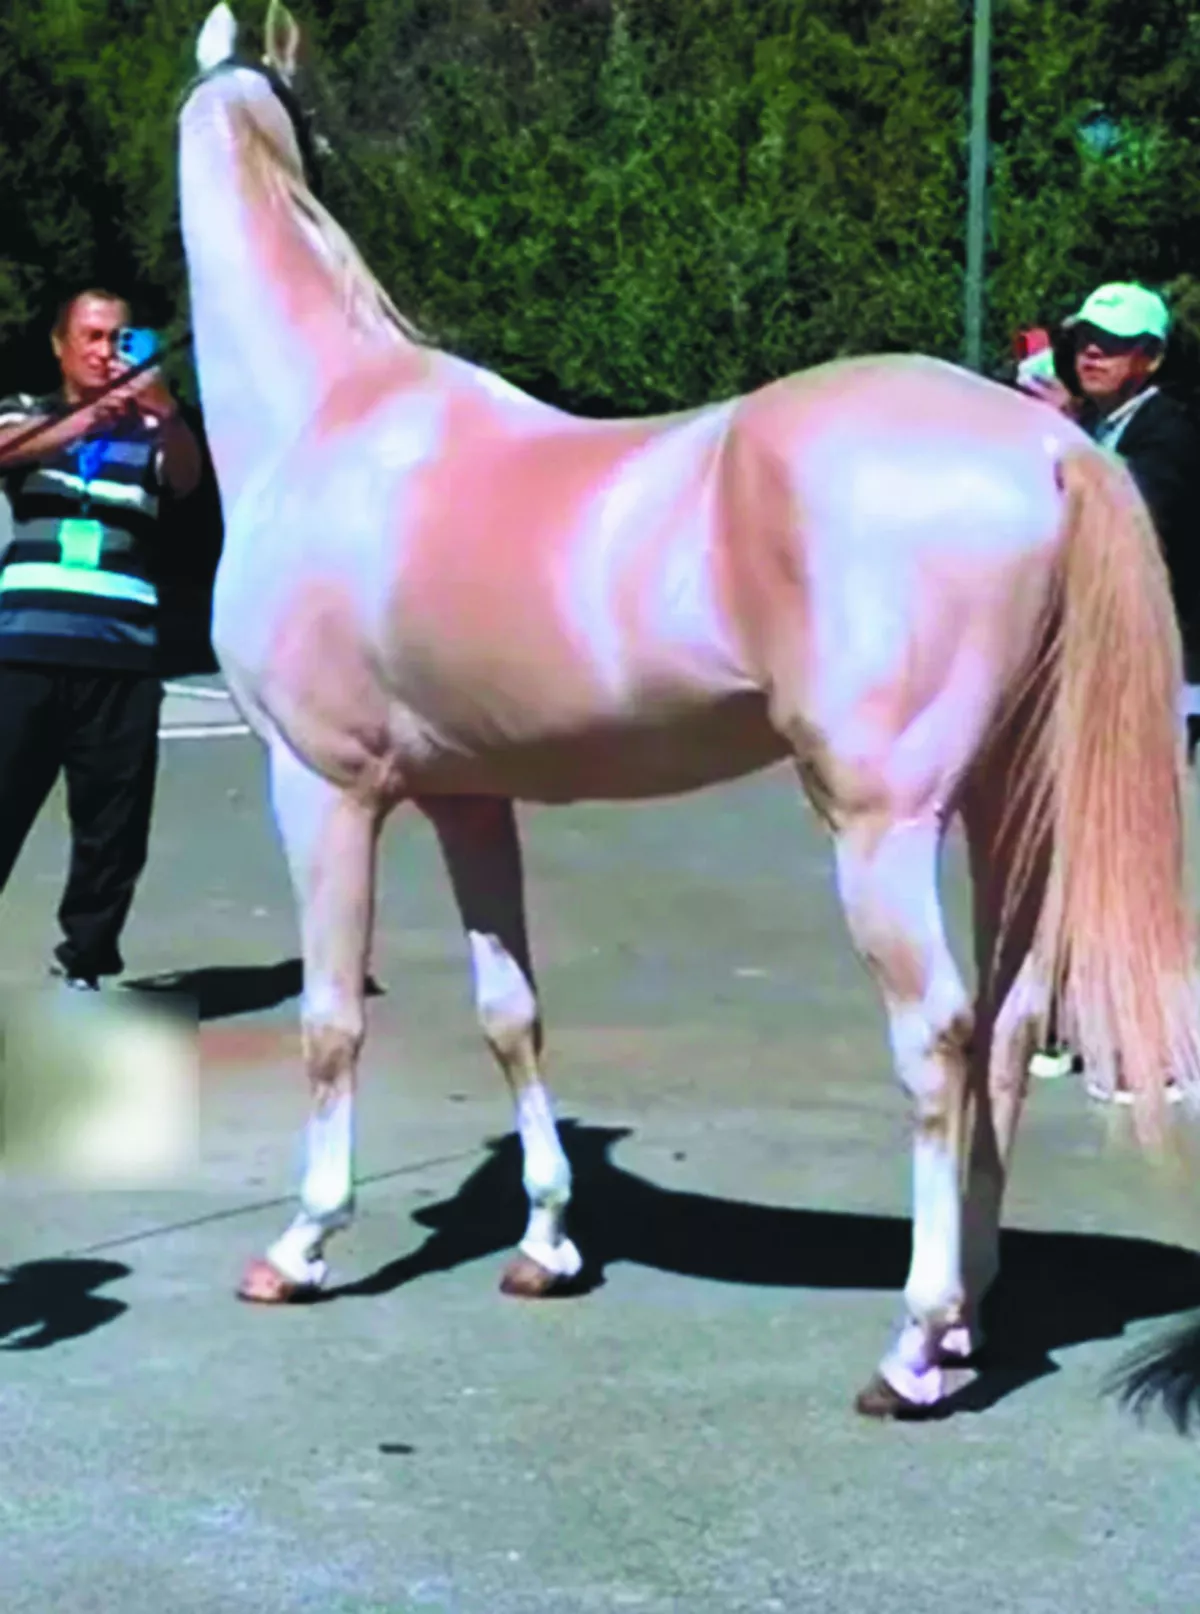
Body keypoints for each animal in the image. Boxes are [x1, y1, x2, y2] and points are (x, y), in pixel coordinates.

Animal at [177, 0, 1200, 1418]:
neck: (328, 416)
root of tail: (1051, 446)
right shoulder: (469, 797)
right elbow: (511, 1012)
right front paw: (547, 1245)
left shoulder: (323, 788)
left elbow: (330, 1022)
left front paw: (301, 1247)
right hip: (1015, 811)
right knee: (1001, 1030)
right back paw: (971, 1324)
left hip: (885, 828)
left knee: (936, 1038)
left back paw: (912, 1346)